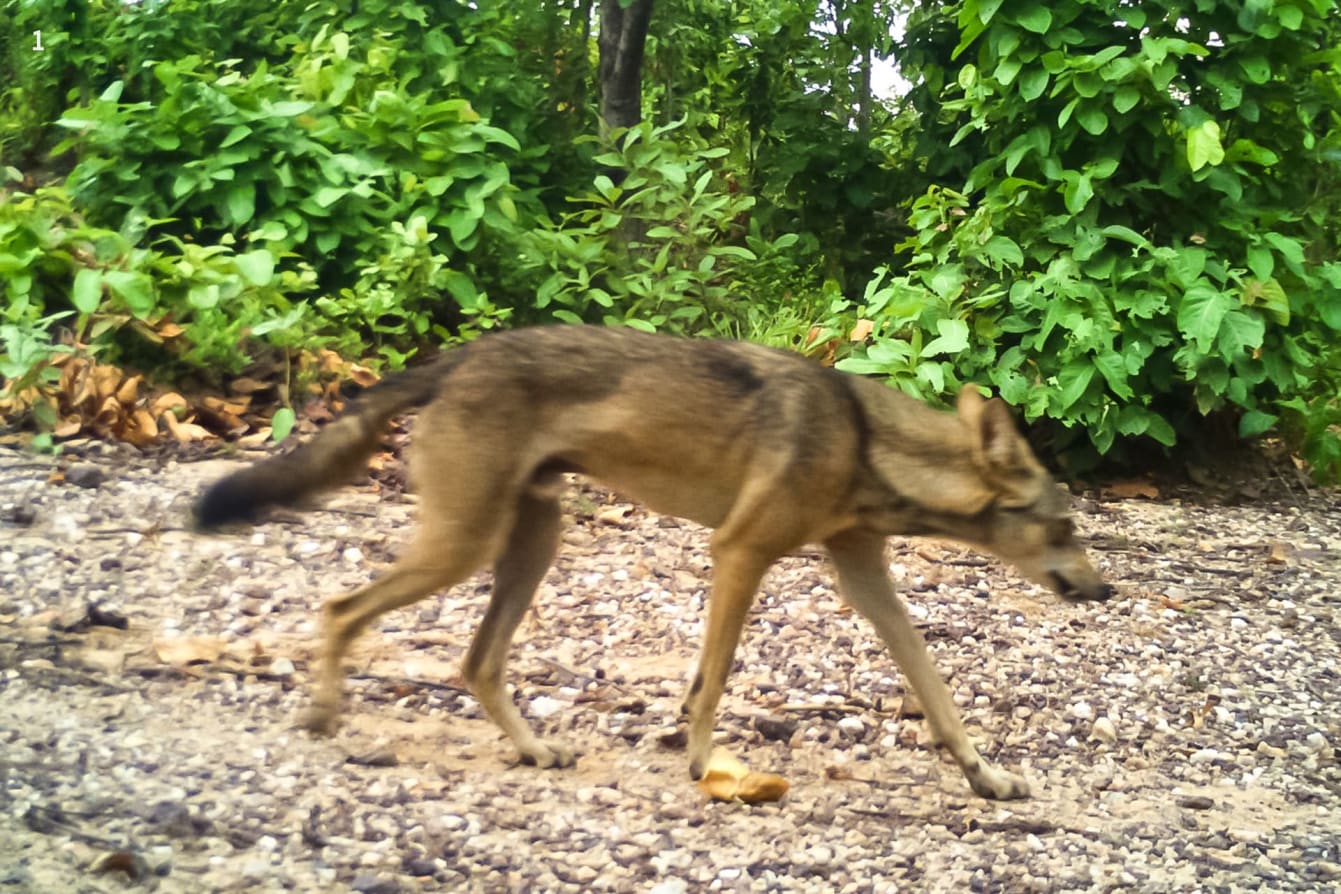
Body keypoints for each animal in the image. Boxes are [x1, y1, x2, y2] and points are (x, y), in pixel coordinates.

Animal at [196, 325, 1112, 799]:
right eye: (1067, 525)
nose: (1103, 591)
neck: (865, 442)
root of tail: (461, 356)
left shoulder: (865, 581)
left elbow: (938, 693)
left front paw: (986, 777)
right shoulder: (739, 554)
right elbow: (713, 680)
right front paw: (705, 764)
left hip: (527, 548)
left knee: (476, 663)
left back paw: (535, 753)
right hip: (459, 550)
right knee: (338, 609)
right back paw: (322, 714)